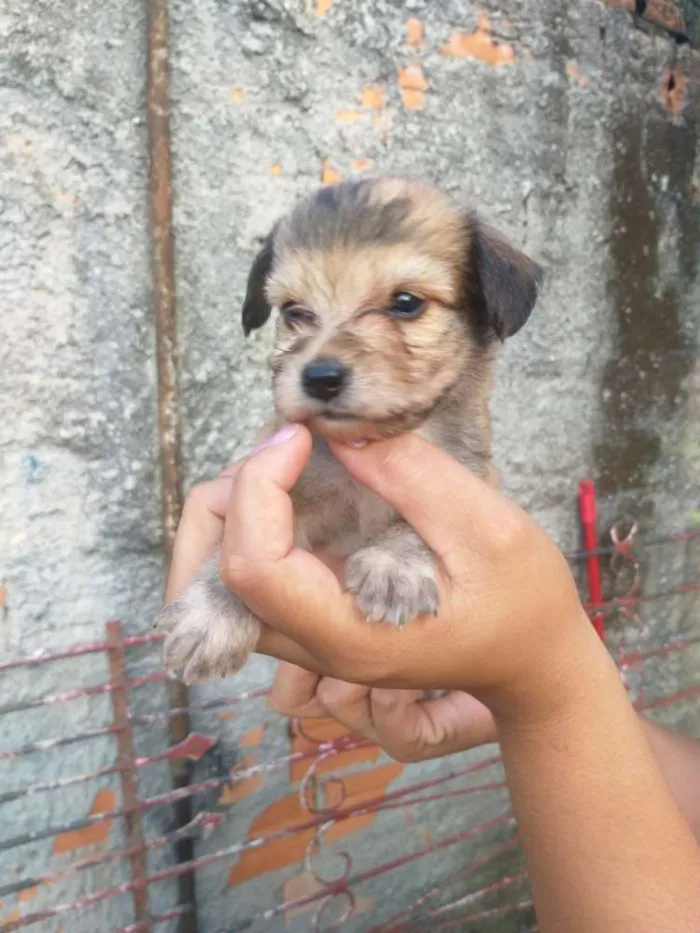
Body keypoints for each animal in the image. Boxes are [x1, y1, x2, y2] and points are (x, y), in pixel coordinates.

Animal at [159, 177, 540, 684]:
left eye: (406, 303)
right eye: (294, 311)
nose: (319, 377)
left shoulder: (467, 475)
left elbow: (413, 521)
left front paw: (394, 565)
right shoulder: (297, 491)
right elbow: (231, 547)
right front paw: (212, 613)